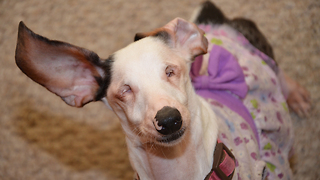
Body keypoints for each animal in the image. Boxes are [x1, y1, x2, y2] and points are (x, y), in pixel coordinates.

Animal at [15, 1, 310, 180]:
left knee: (278, 71)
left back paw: (296, 94)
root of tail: (215, 21)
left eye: (170, 71)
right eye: (125, 91)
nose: (168, 119)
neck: (174, 167)